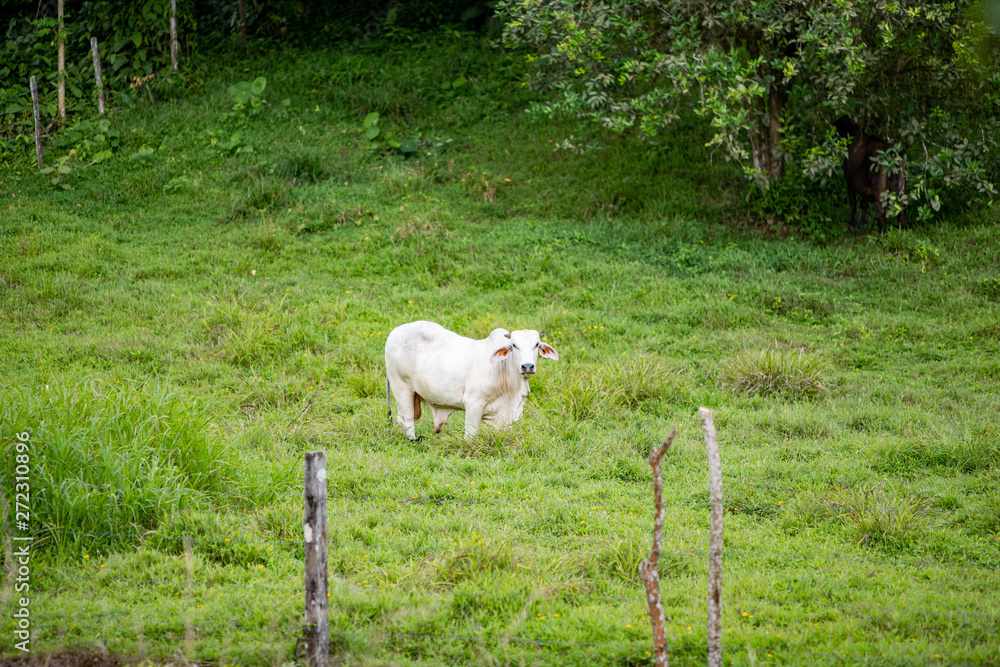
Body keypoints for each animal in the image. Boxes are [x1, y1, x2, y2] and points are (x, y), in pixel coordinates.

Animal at [384, 320, 559, 440]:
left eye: (536, 344)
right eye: (514, 345)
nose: (527, 366)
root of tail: (394, 332)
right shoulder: (473, 404)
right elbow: (470, 435)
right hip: (402, 388)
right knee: (407, 422)